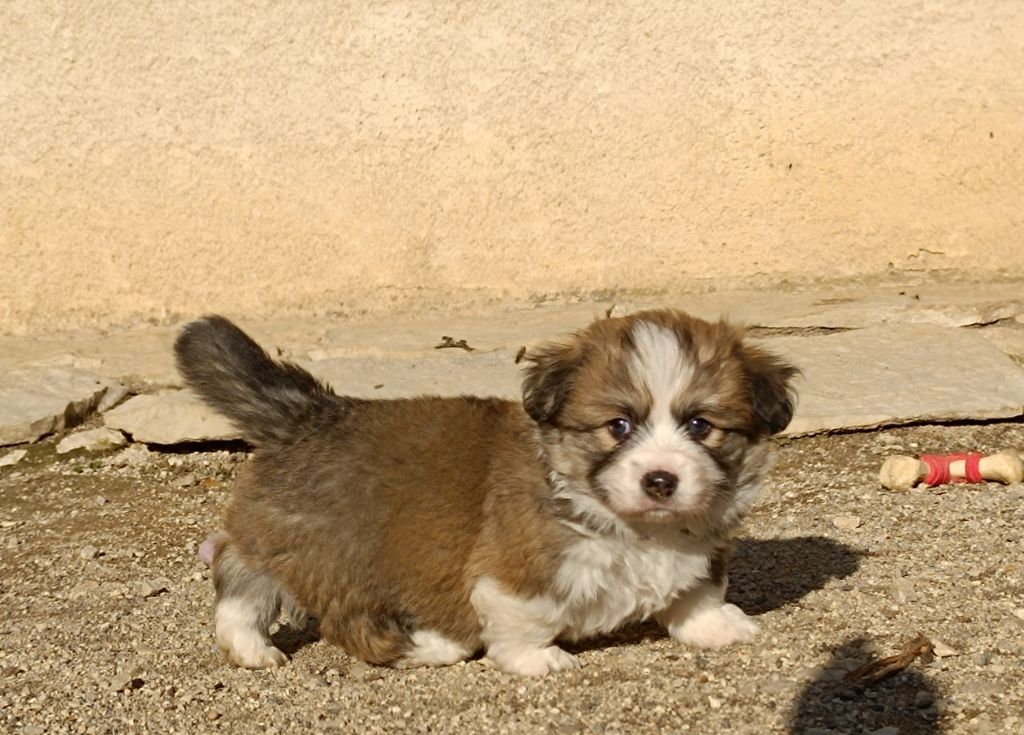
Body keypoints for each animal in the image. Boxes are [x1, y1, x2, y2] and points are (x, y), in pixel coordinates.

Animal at [176, 311, 798, 679]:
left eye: (700, 425)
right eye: (618, 426)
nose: (661, 480)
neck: (634, 526)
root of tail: (310, 411)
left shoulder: (703, 549)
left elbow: (698, 590)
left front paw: (712, 626)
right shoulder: (518, 570)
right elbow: (526, 618)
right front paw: (537, 659)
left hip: (279, 535)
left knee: (240, 576)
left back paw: (246, 644)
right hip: (343, 559)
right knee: (345, 624)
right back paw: (430, 645)